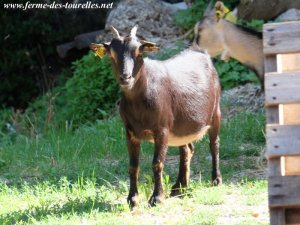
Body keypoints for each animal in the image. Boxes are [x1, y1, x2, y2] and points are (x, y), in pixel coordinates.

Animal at [88, 25, 220, 208]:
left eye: (139, 52)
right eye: (112, 55)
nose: (125, 77)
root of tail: (201, 53)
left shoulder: (162, 129)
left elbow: (157, 163)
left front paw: (156, 198)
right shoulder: (130, 132)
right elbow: (133, 166)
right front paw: (132, 199)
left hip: (215, 112)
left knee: (214, 144)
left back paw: (215, 180)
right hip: (181, 126)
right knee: (187, 149)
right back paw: (180, 188)